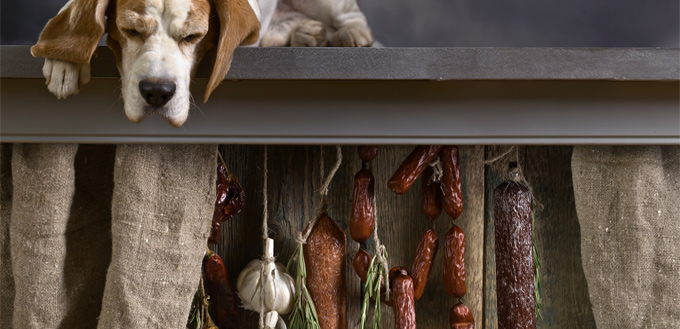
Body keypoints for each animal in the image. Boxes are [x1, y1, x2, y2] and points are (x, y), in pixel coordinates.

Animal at [31, 0, 372, 127]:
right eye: (131, 31)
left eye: (193, 36)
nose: (157, 92)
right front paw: (64, 63)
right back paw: (304, 32)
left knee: (350, 14)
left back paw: (351, 34)